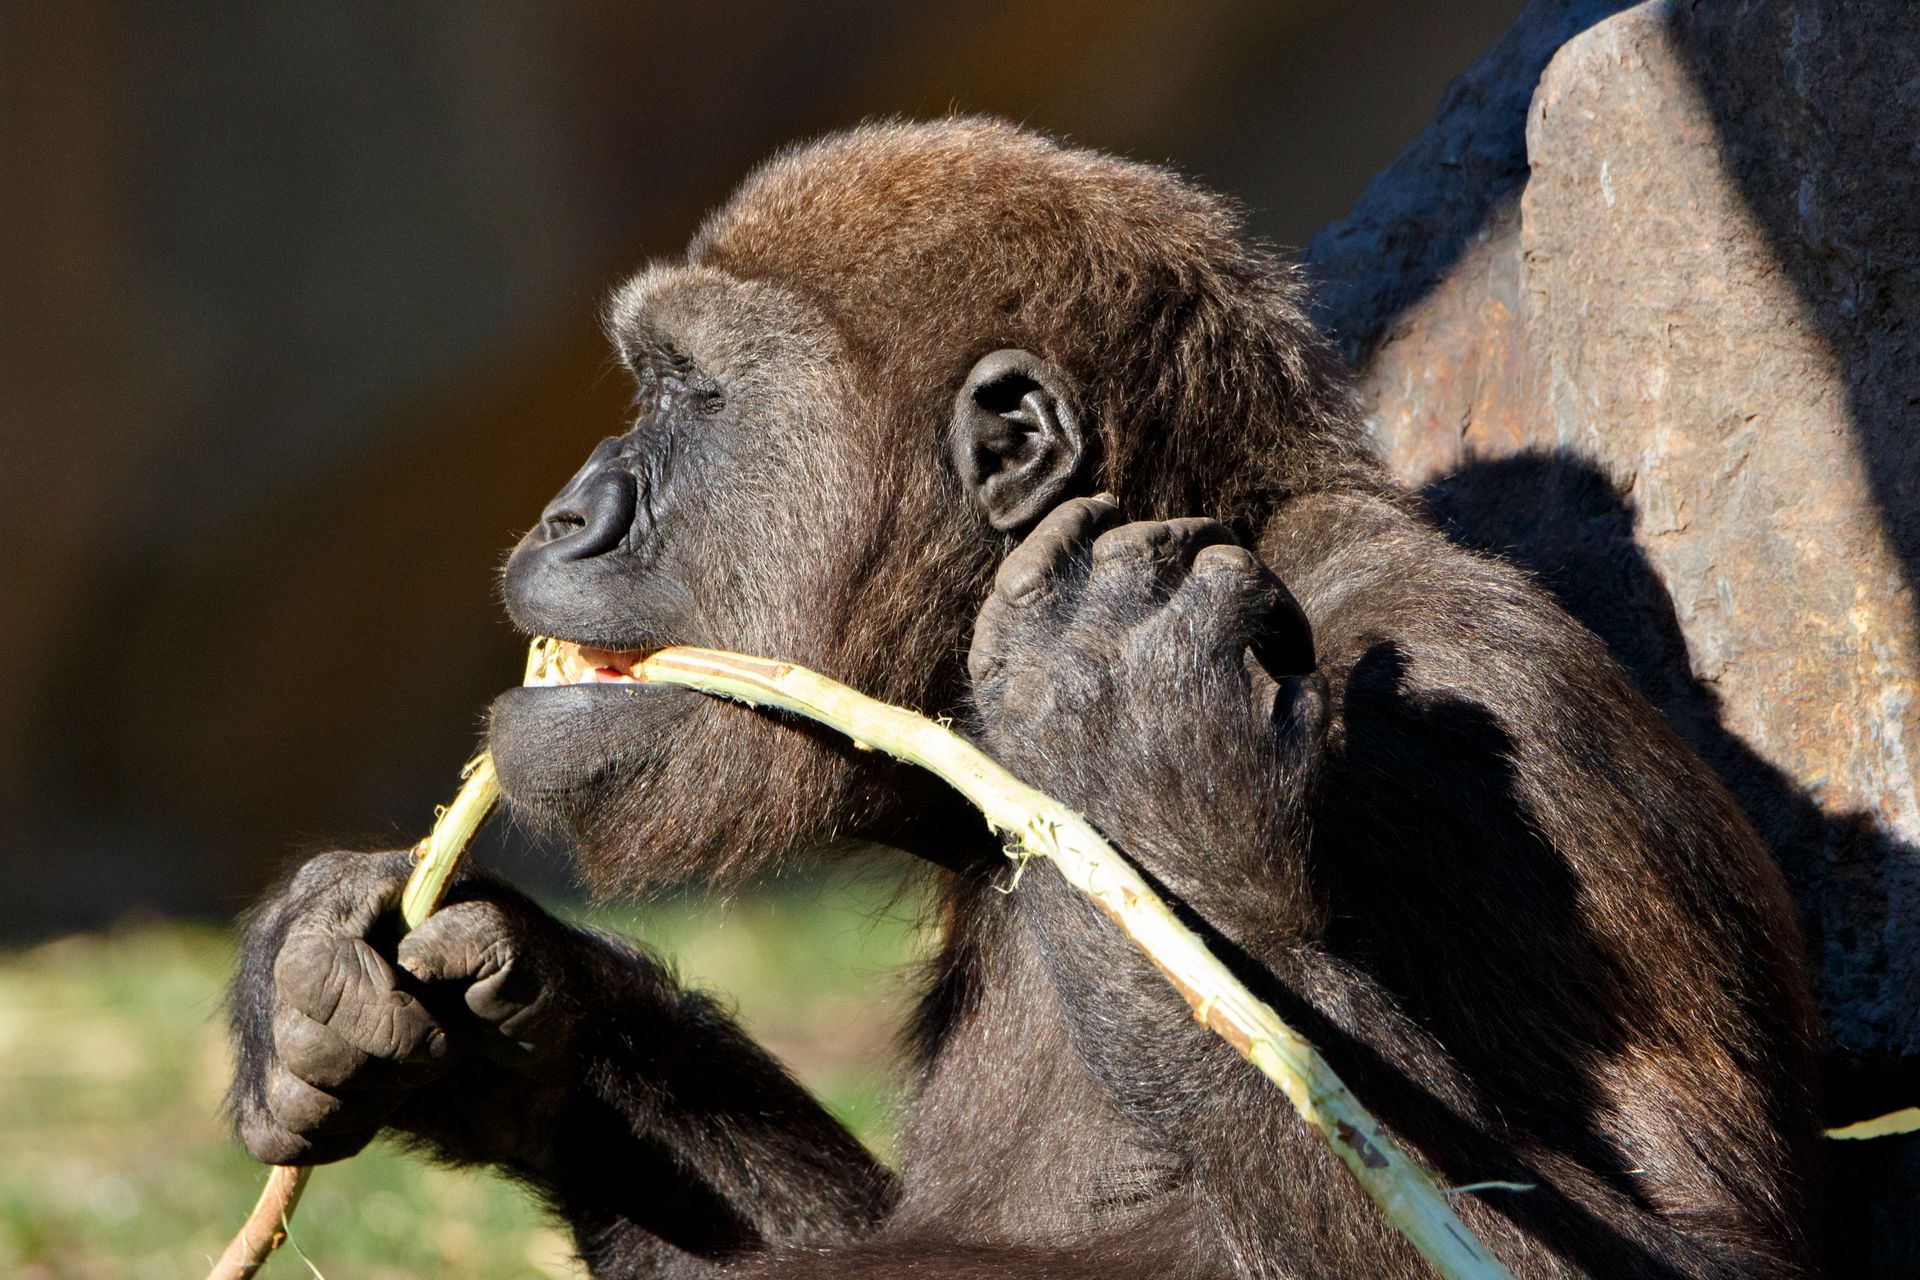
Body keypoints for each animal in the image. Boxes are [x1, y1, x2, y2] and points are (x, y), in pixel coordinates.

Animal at [228, 118, 1820, 1278]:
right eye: (653, 385)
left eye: (691, 397)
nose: (570, 513)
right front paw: (492, 1001)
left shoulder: (1480, 730)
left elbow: (1697, 1252)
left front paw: (1144, 753)